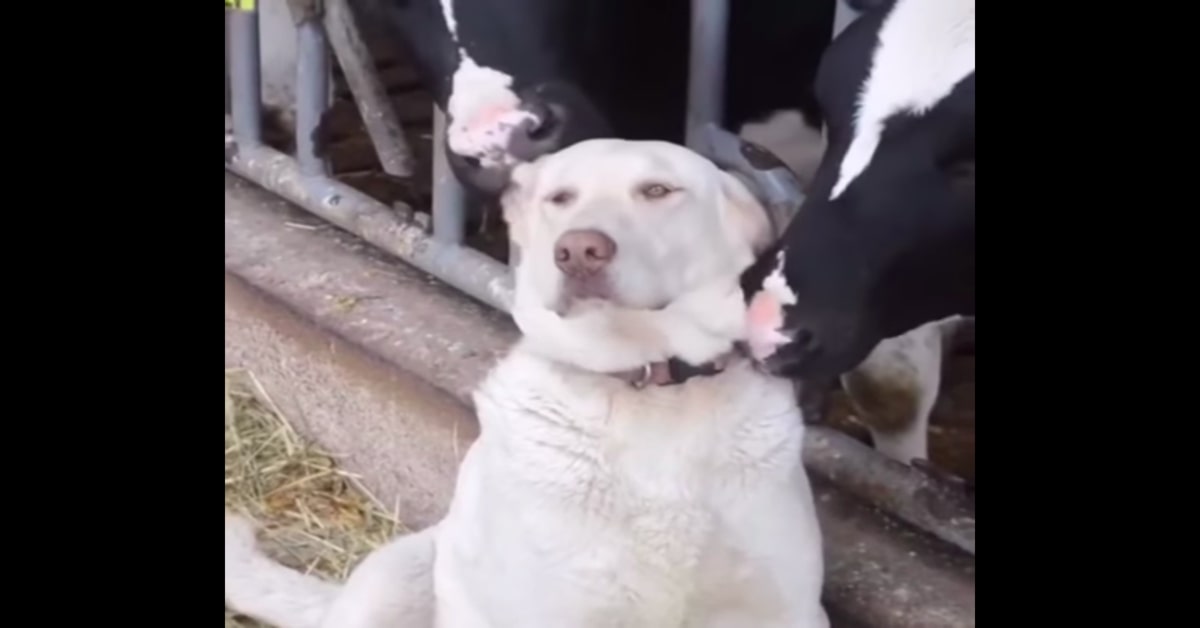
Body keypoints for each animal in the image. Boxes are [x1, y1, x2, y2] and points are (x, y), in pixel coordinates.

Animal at [223, 138, 825, 628]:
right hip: (396, 576)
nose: (578, 250)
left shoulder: (787, 610)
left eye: (657, 190)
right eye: (560, 198)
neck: (648, 389)